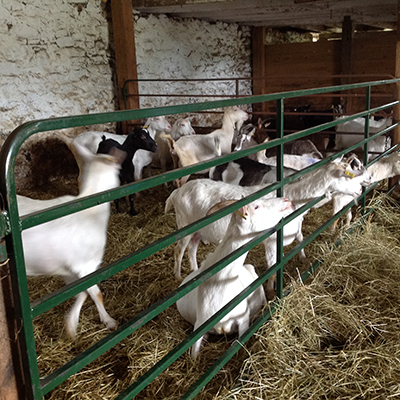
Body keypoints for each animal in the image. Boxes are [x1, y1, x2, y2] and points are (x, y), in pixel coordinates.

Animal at [18, 141, 125, 338]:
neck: (91, 208)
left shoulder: (69, 270)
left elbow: (80, 293)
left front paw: (71, 324)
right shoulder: (86, 266)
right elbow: (95, 293)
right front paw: (109, 321)